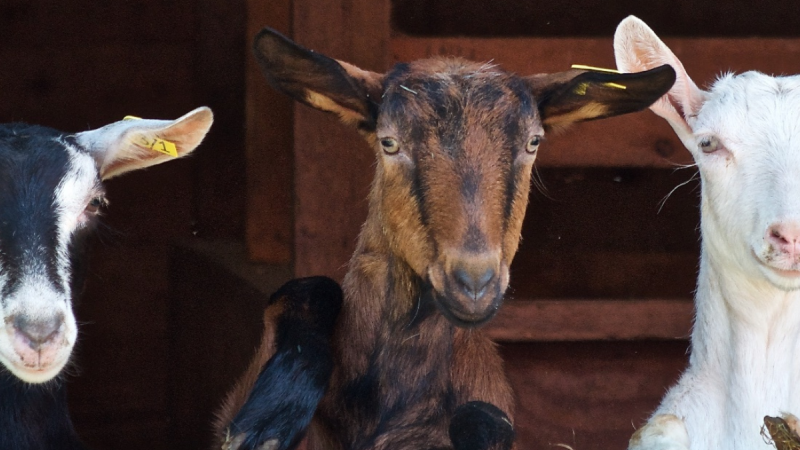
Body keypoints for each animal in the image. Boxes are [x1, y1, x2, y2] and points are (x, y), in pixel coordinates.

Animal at [216, 28, 680, 450]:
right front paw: (269, 419)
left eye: (533, 142)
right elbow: (308, 289)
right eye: (389, 142)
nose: (474, 283)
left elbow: (484, 416)